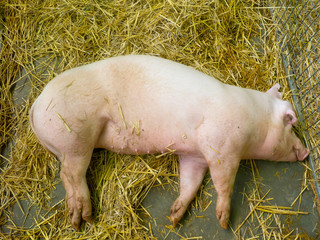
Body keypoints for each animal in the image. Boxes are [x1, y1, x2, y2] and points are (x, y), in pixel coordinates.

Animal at [28, 54, 308, 231]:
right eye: (290, 124)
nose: (306, 151)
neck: (253, 120)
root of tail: (36, 103)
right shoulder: (221, 147)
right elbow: (223, 182)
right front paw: (223, 221)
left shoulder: (194, 156)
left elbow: (190, 183)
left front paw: (173, 217)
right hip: (75, 137)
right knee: (70, 174)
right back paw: (83, 219)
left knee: (67, 175)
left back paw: (78, 220)